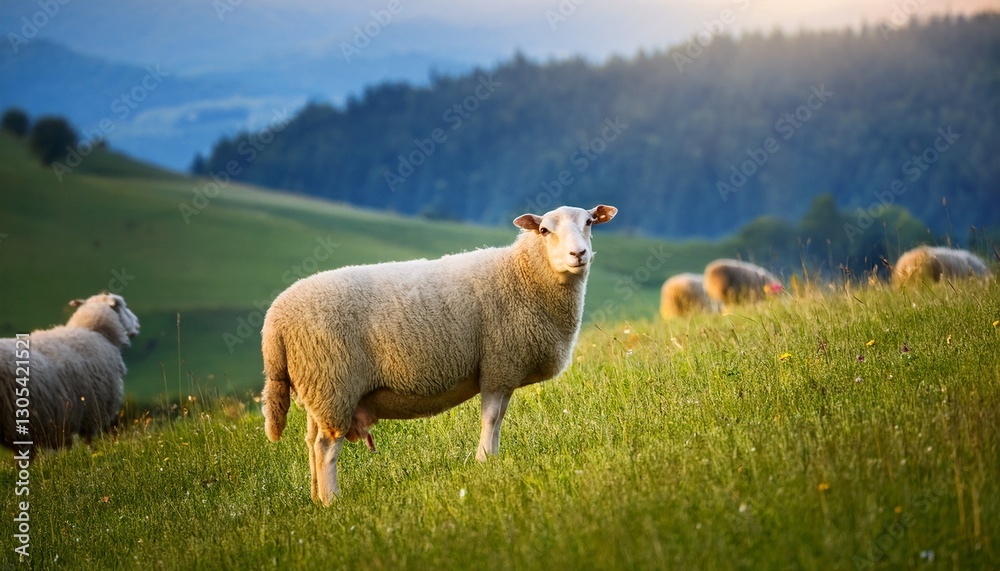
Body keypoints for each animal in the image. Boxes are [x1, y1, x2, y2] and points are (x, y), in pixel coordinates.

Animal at [0, 293, 140, 453]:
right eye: (124, 306)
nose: (138, 325)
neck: (94, 331)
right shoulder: (93, 412)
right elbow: (88, 442)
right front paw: (90, 455)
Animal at [261, 204, 617, 505]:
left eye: (589, 222)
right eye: (544, 230)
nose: (578, 254)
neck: (523, 274)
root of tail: (274, 322)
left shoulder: (503, 370)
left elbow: (499, 419)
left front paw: (494, 459)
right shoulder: (497, 365)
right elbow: (490, 418)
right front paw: (483, 461)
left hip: (317, 388)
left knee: (311, 443)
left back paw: (316, 498)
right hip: (333, 384)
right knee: (326, 448)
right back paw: (333, 501)